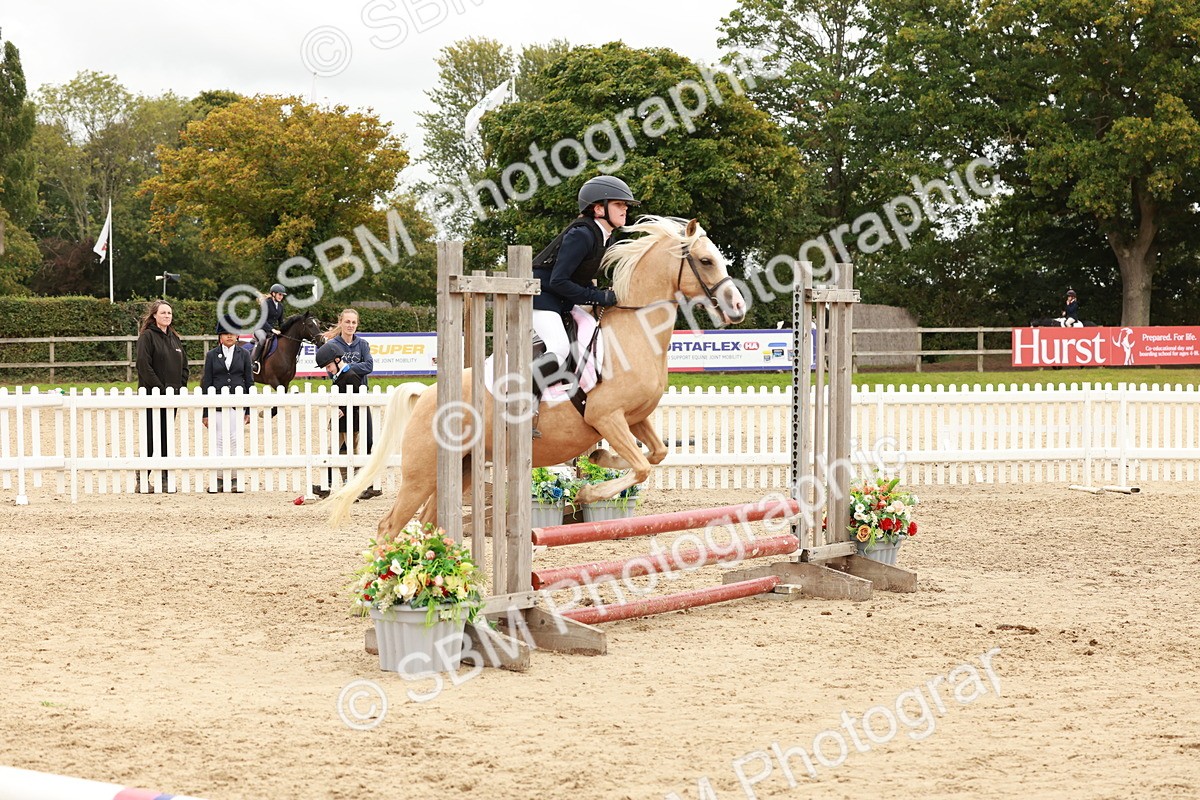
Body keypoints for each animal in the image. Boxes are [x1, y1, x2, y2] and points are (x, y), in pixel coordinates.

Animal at [328, 216, 747, 539]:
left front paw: (600, 458)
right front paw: (589, 494)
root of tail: (426, 395)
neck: (634, 332)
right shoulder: (606, 417)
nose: (738, 307)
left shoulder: (635, 418)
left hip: (461, 468)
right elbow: (642, 466)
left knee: (430, 522)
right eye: (706, 260)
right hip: (423, 471)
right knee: (390, 525)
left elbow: (657, 454)